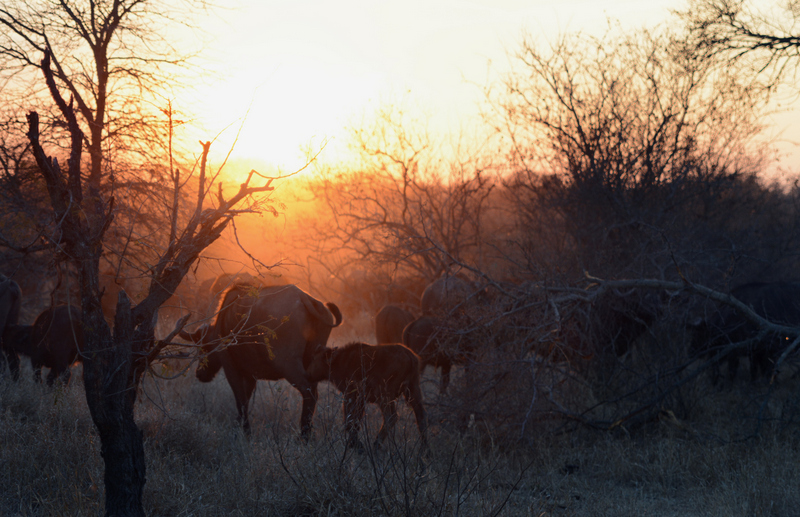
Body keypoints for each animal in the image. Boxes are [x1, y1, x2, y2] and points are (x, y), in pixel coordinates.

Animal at [181, 284, 342, 435]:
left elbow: (240, 401)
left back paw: (304, 434)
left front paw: (245, 432)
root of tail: (304, 297)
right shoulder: (250, 375)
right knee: (313, 391)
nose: (199, 374)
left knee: (308, 392)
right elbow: (246, 400)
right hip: (313, 361)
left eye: (204, 347)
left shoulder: (231, 369)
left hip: (288, 365)